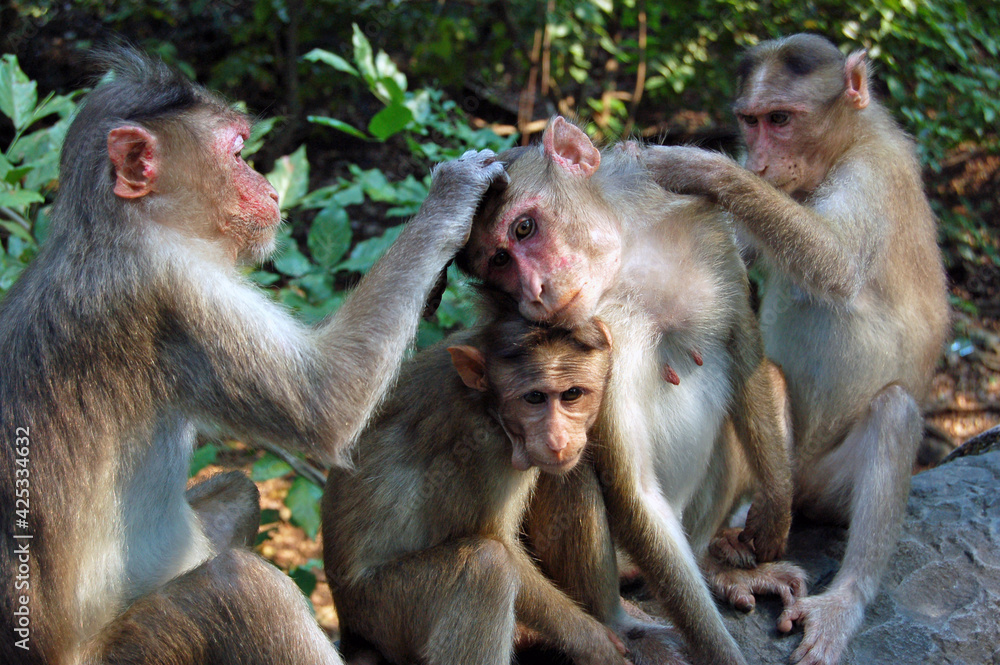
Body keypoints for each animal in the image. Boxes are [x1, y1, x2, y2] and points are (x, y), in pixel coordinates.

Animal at [0, 49, 507, 665]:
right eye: (238, 153)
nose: (268, 185)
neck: (113, 226)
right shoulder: (172, 283)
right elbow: (325, 399)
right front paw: (454, 194)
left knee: (238, 496)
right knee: (242, 590)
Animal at [322, 304, 637, 665]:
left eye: (572, 394)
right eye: (533, 398)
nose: (557, 440)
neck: (485, 402)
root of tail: (348, 625)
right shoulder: (481, 445)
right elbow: (501, 548)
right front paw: (593, 642)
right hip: (384, 611)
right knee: (487, 566)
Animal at [458, 117, 806, 665]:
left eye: (523, 229)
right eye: (499, 262)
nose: (533, 292)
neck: (628, 264)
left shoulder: (703, 227)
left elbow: (744, 347)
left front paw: (775, 509)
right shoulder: (590, 344)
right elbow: (634, 488)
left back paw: (714, 566)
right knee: (571, 469)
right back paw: (619, 620)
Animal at [641, 33, 949, 665]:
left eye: (780, 120)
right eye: (751, 121)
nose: (758, 162)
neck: (844, 145)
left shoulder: (875, 172)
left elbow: (834, 264)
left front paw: (703, 168)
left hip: (828, 488)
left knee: (895, 411)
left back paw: (843, 599)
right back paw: (724, 558)